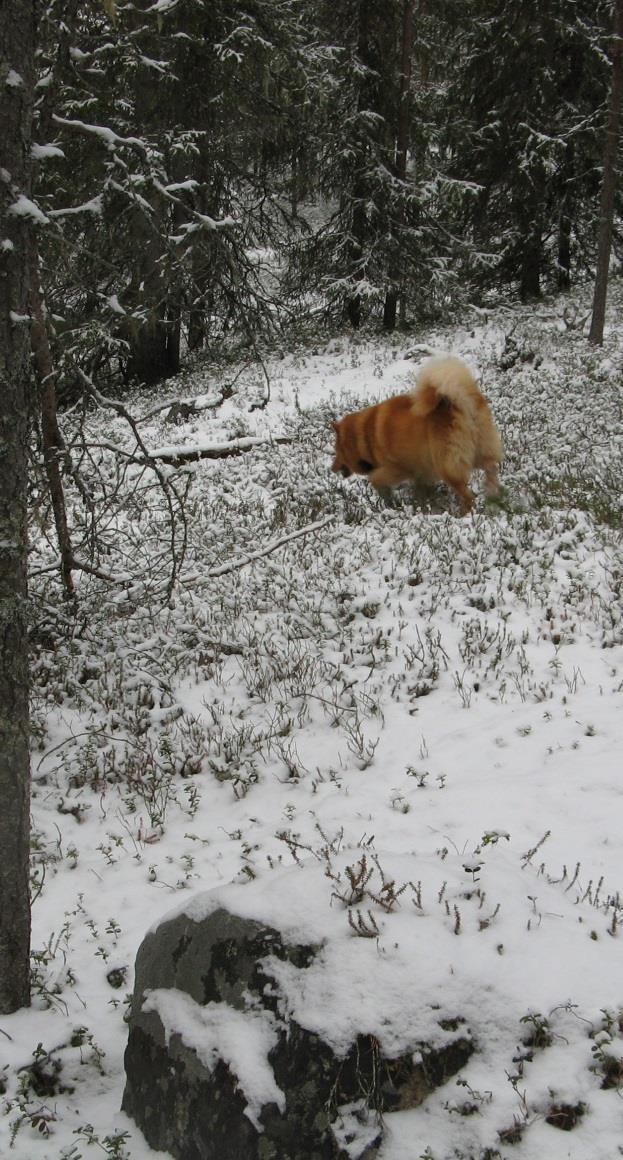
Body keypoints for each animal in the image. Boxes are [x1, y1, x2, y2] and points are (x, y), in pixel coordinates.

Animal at [329, 354, 501, 515]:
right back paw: (493, 497)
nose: (332, 468)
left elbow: (376, 480)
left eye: (337, 451)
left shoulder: (398, 469)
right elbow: (421, 493)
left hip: (447, 466)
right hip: (480, 452)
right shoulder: (421, 473)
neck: (365, 434)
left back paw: (464, 515)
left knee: (468, 496)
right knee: (491, 470)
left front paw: (390, 502)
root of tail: (461, 403)